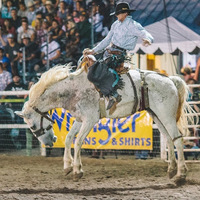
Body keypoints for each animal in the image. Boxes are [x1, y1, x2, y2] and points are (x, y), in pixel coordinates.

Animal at [16, 63, 195, 185]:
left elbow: (78, 142)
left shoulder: (90, 120)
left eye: (32, 126)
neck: (74, 90)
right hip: (156, 115)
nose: (49, 142)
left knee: (177, 139)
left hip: (166, 115)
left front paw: (77, 170)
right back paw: (171, 170)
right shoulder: (80, 120)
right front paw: (67, 166)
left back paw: (180, 175)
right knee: (168, 138)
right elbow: (68, 139)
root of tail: (170, 79)